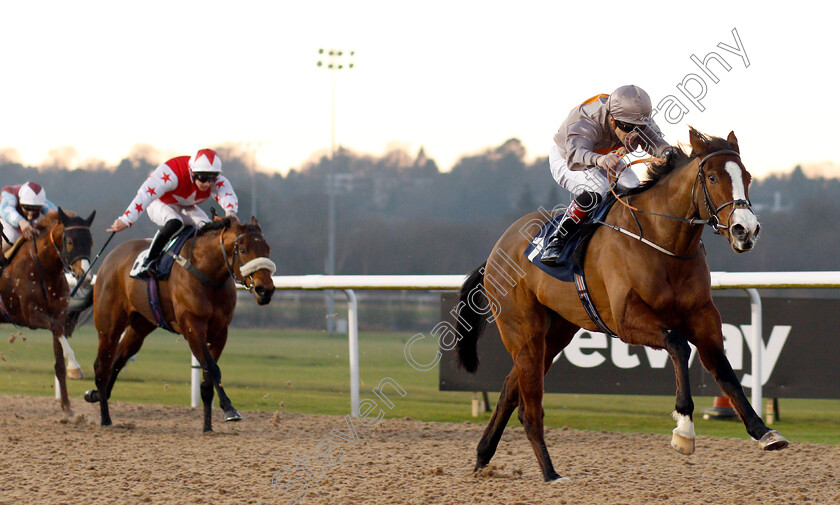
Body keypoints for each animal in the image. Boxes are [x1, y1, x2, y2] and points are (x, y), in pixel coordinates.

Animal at [0, 209, 95, 414]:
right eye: (70, 242)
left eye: (90, 241)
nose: (85, 277)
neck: (41, 267)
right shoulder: (32, 316)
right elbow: (57, 329)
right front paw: (75, 368)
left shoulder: (58, 313)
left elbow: (59, 362)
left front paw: (67, 406)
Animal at [84, 215, 276, 432]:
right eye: (242, 250)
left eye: (267, 249)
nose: (265, 290)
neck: (206, 273)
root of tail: (110, 258)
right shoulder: (192, 325)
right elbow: (212, 368)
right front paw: (229, 409)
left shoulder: (220, 331)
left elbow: (208, 377)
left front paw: (207, 426)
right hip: (109, 325)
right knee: (101, 365)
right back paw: (105, 418)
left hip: (140, 326)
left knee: (117, 360)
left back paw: (98, 396)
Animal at [456, 127, 784, 480]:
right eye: (711, 177)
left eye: (747, 177)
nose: (745, 230)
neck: (663, 241)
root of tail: (496, 253)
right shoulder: (627, 319)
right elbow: (678, 345)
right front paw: (684, 429)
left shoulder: (702, 317)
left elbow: (725, 372)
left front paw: (764, 432)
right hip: (523, 331)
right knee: (529, 409)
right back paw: (551, 473)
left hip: (555, 333)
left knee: (509, 389)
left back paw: (483, 457)